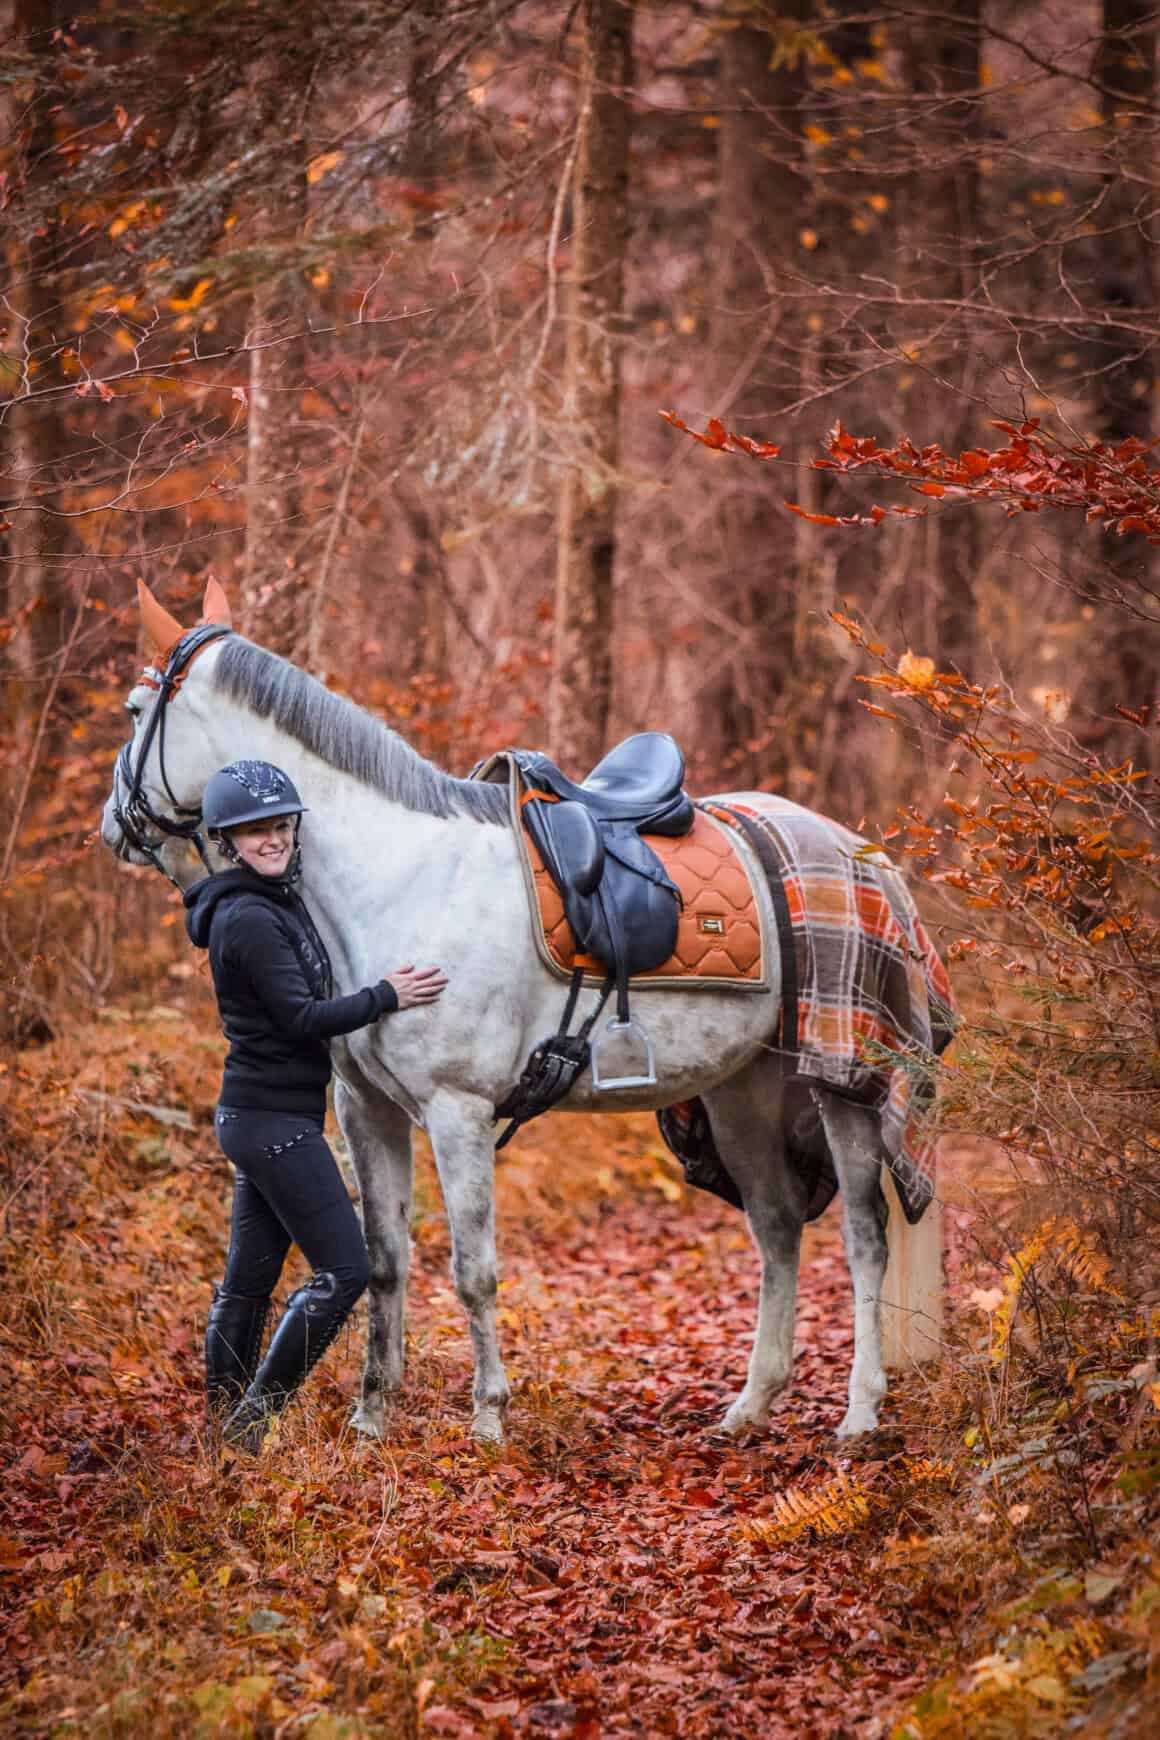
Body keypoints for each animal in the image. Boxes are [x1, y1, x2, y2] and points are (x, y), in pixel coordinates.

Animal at [99, 579, 946, 1445]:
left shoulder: (459, 1111)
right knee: (776, 1228)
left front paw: (486, 1421)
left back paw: (861, 1409)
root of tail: (863, 853)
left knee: (864, 1237)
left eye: (135, 709)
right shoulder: (367, 1108)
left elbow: (473, 1272)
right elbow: (383, 1263)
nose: (113, 827)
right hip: (741, 1092)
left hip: (842, 1086)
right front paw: (372, 1418)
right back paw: (750, 1405)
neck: (400, 878)